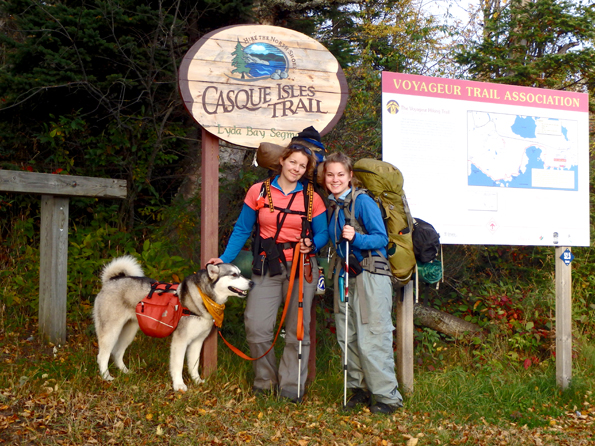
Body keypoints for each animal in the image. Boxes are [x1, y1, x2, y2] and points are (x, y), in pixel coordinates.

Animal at [93, 256, 254, 392]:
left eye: (241, 273)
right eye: (234, 275)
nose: (252, 282)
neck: (204, 298)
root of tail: (111, 280)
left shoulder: (197, 341)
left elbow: (194, 365)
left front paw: (197, 381)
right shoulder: (180, 340)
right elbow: (178, 364)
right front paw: (179, 385)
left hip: (129, 331)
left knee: (117, 352)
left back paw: (125, 372)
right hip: (111, 331)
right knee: (102, 356)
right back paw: (107, 377)